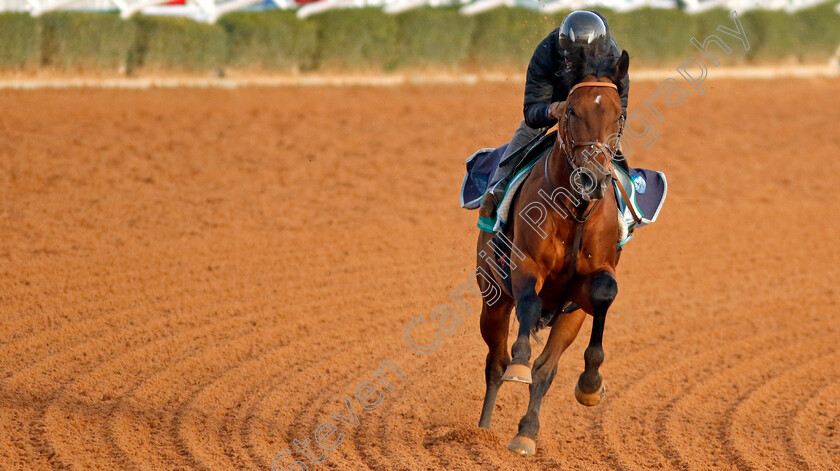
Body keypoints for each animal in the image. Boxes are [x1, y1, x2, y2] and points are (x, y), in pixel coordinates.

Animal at [476, 49, 628, 456]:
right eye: (572, 111)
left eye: (619, 114)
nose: (594, 178)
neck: (574, 210)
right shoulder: (526, 263)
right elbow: (528, 304)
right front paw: (520, 362)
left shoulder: (588, 286)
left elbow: (605, 294)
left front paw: (590, 384)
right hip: (492, 299)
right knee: (495, 362)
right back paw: (480, 432)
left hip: (567, 318)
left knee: (546, 370)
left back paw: (526, 433)